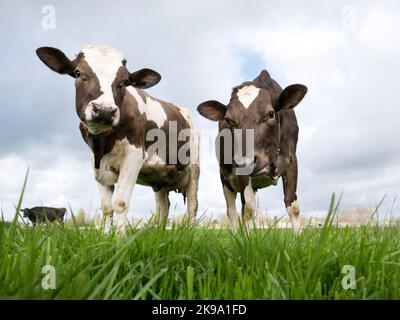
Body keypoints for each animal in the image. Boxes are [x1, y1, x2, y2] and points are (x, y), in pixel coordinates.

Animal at [36, 45, 199, 234]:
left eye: (126, 81)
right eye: (77, 72)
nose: (104, 110)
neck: (103, 144)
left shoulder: (134, 157)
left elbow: (120, 203)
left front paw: (120, 237)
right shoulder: (97, 164)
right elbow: (107, 207)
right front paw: (106, 236)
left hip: (194, 169)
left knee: (192, 205)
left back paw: (192, 233)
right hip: (160, 178)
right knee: (162, 207)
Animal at [198, 70, 308, 234]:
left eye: (270, 114)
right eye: (228, 120)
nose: (247, 162)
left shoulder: (291, 159)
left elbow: (293, 207)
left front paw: (299, 238)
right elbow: (248, 209)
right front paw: (247, 239)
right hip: (225, 178)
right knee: (232, 210)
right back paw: (236, 235)